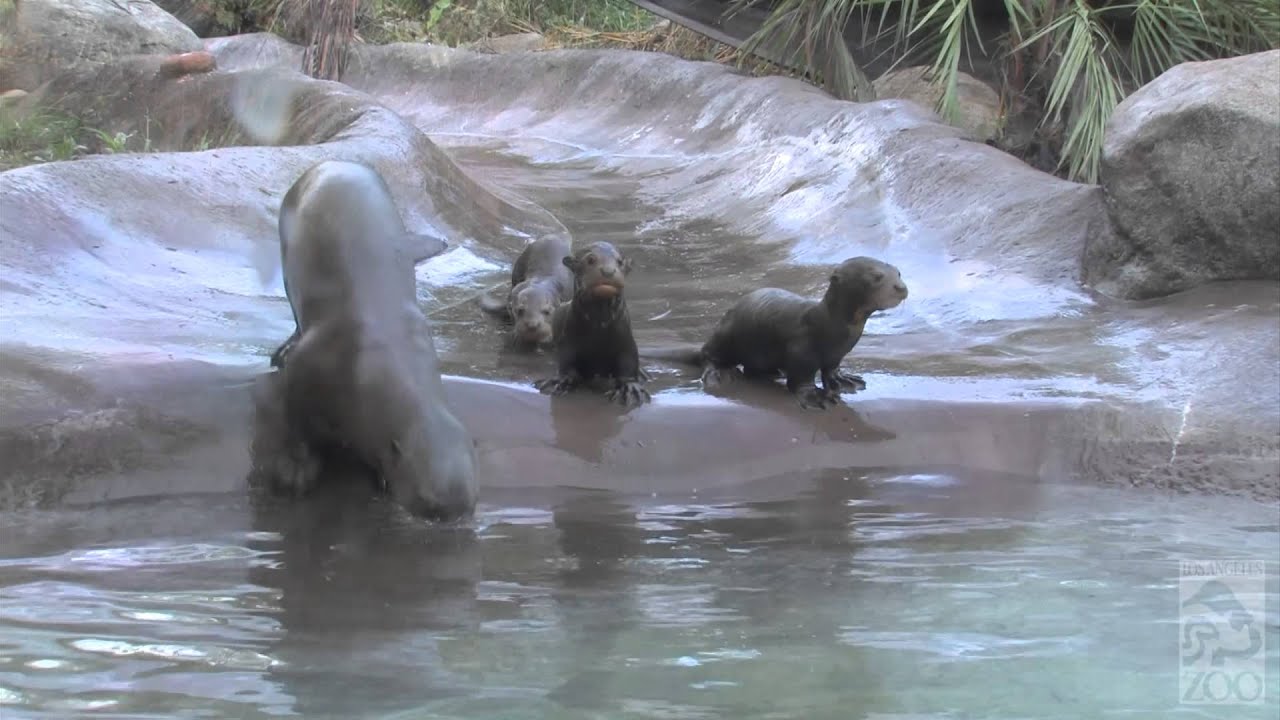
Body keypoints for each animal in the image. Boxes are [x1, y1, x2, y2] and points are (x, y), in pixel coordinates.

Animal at [257, 159, 478, 521]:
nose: (452, 515)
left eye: (473, 501)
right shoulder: (306, 370)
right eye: (429, 504)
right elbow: (295, 425)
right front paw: (294, 472)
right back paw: (282, 349)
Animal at [533, 241, 651, 408]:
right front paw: (560, 382)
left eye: (619, 262)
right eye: (590, 260)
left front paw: (629, 389)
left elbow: (628, 365)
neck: (598, 332)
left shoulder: (626, 341)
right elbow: (566, 364)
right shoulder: (568, 342)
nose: (608, 271)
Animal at [642, 256, 908, 410]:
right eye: (876, 277)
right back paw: (721, 374)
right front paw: (815, 396)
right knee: (710, 356)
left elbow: (831, 370)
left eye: (898, 272)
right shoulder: (800, 349)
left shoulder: (836, 355)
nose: (901, 287)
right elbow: (800, 379)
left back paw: (771, 372)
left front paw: (844, 381)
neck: (833, 329)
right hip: (725, 335)